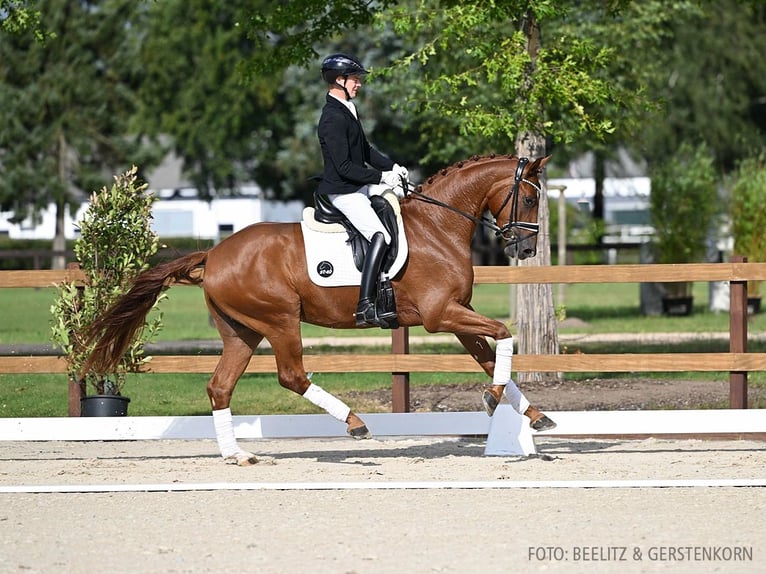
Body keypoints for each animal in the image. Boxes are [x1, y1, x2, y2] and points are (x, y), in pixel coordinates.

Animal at [84, 155, 556, 466]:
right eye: (530, 199)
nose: (526, 248)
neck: (436, 228)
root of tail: (214, 254)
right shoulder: (441, 314)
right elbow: (503, 334)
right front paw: (494, 399)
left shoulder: (458, 312)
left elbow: (489, 354)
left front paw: (532, 414)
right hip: (279, 320)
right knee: (292, 375)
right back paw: (355, 423)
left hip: (242, 331)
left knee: (220, 387)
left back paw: (238, 455)